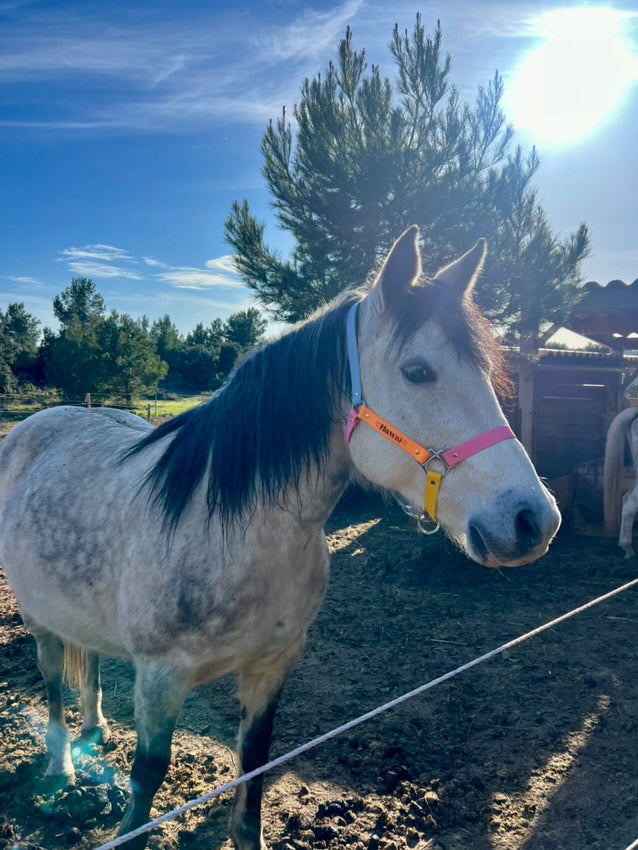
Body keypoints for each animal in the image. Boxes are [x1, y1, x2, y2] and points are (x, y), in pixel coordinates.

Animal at [0, 227, 560, 848]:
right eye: (418, 372)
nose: (533, 520)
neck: (231, 534)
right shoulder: (160, 680)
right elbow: (147, 781)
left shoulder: (274, 665)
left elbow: (253, 766)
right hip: (36, 614)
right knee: (52, 680)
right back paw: (61, 768)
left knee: (90, 660)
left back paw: (95, 729)